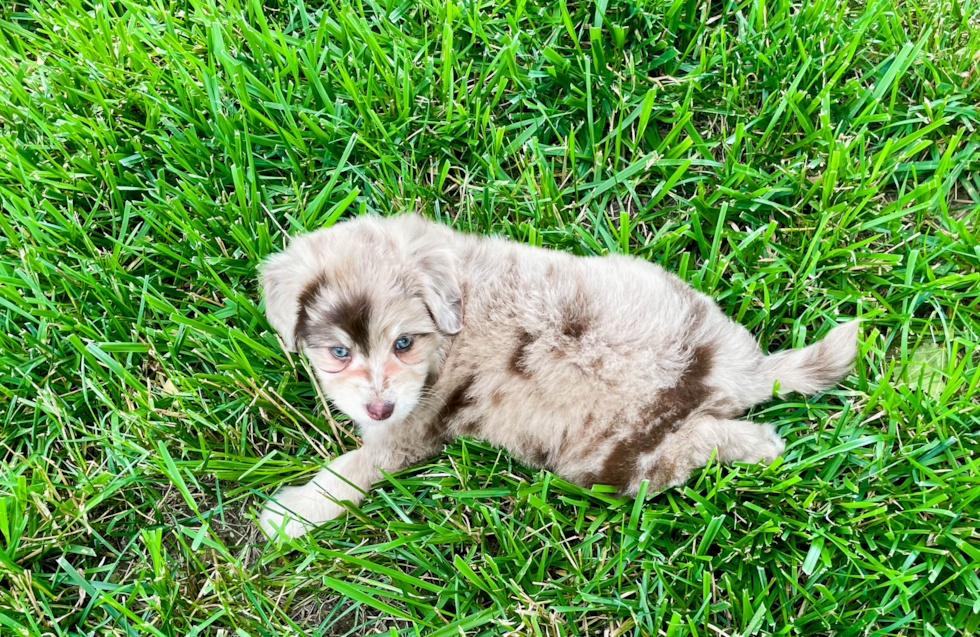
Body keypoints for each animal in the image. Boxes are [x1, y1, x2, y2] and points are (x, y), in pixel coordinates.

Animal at [258, 215, 856, 536]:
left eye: (403, 343)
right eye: (338, 352)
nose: (377, 408)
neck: (453, 319)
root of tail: (732, 376)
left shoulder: (410, 428)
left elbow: (352, 469)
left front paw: (291, 516)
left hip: (613, 462)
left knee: (706, 441)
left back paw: (763, 444)